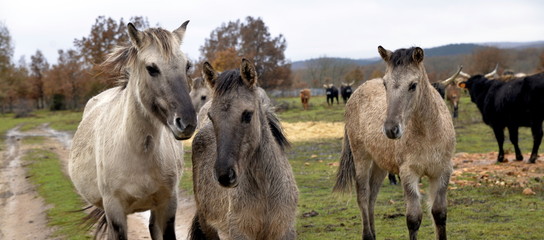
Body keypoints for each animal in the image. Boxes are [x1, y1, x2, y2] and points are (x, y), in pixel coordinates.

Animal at [67, 21, 196, 239]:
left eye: (187, 66)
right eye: (151, 68)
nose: (187, 123)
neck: (137, 152)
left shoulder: (168, 204)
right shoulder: (115, 211)